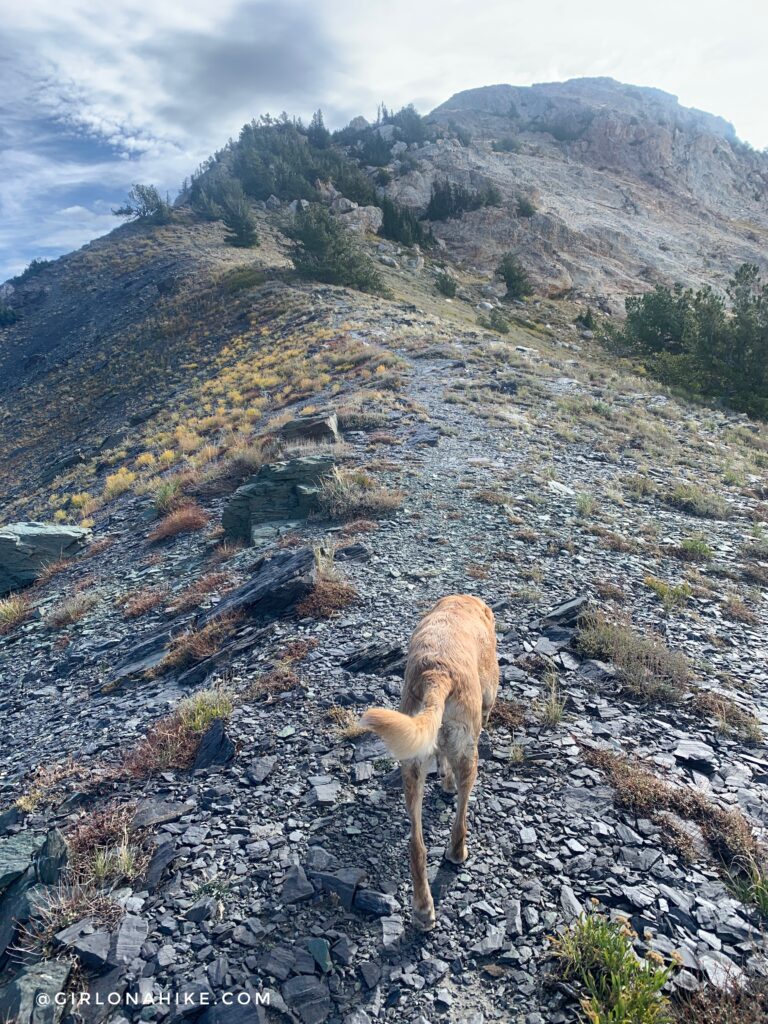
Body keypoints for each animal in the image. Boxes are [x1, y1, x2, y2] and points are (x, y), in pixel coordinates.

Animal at [360, 593, 499, 929]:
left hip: (411, 767)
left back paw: (423, 909)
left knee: (416, 846)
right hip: (468, 755)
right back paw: (457, 852)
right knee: (460, 817)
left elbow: (440, 757)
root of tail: (437, 674)